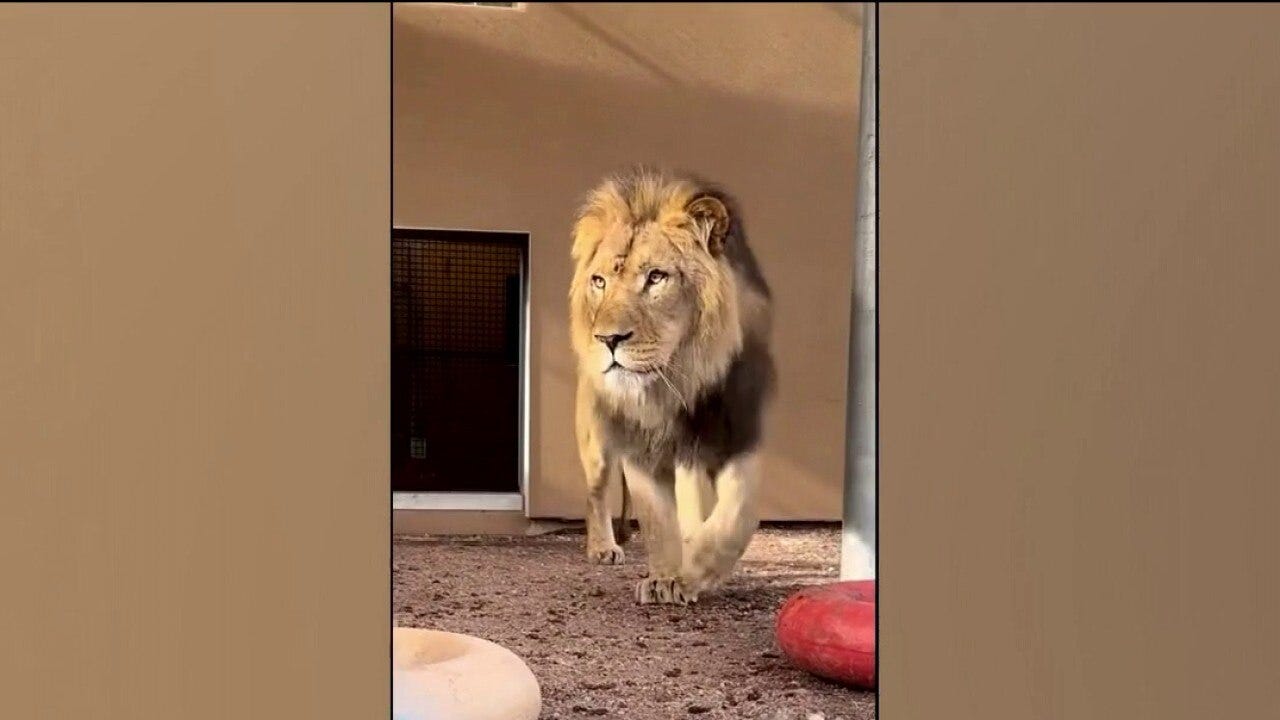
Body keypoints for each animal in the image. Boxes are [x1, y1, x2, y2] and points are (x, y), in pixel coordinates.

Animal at [568, 167, 776, 605]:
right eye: (599, 281)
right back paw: (603, 547)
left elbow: (735, 514)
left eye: (656, 277)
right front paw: (664, 577)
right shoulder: (639, 447)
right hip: (596, 439)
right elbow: (656, 519)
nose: (607, 339)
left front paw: (697, 569)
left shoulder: (741, 435)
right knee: (596, 492)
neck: (675, 385)